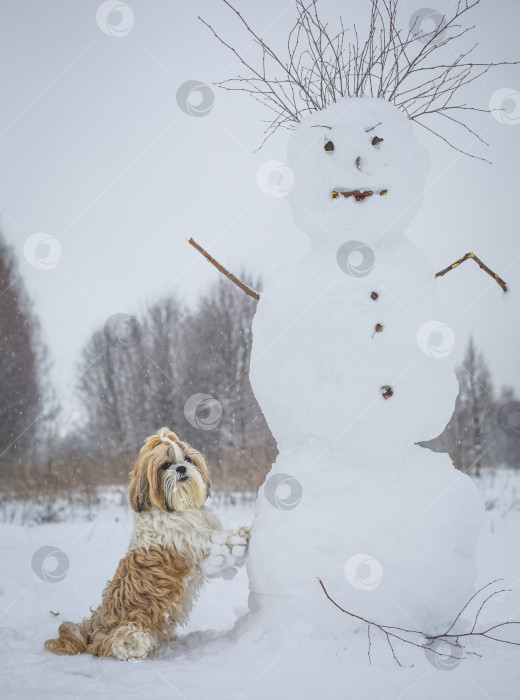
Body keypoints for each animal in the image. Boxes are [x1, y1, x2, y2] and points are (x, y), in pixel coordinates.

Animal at [45, 426, 250, 660]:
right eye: (165, 465)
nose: (181, 468)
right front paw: (243, 534)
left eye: (188, 459)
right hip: (131, 632)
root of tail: (93, 628)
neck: (177, 508)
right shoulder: (198, 544)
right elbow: (223, 543)